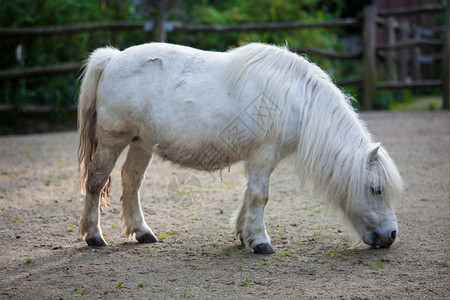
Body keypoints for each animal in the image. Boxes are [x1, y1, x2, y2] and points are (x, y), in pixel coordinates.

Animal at [77, 42, 404, 253]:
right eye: (376, 189)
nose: (391, 234)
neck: (297, 99)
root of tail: (113, 59)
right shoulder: (264, 155)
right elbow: (260, 196)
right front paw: (260, 242)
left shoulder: (257, 158)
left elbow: (250, 195)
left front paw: (244, 236)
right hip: (113, 141)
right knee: (96, 181)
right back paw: (94, 236)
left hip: (140, 144)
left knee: (131, 181)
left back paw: (142, 232)